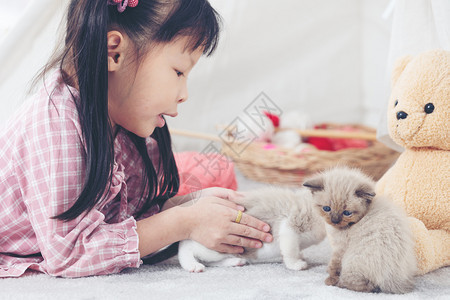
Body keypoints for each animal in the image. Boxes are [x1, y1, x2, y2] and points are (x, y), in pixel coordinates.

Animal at [178, 189, 326, 274]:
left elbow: (296, 249)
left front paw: (300, 257)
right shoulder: (289, 225)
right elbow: (290, 250)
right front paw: (295, 264)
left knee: (209, 261)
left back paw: (235, 262)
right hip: (211, 246)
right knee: (186, 247)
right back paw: (192, 265)